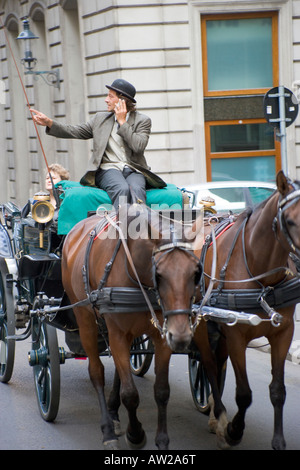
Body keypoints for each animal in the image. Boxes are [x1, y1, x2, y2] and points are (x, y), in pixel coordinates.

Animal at [61, 204, 209, 450]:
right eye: (159, 274)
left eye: (196, 272)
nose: (181, 337)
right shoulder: (119, 334)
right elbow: (130, 394)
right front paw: (136, 434)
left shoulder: (161, 336)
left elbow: (161, 391)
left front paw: (162, 441)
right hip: (85, 319)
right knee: (97, 372)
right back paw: (108, 430)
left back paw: (113, 413)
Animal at [197, 171, 298, 450]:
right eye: (289, 220)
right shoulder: (236, 336)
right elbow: (243, 393)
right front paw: (233, 430)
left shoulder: (283, 332)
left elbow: (278, 390)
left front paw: (278, 441)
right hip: (200, 326)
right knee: (209, 366)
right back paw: (221, 420)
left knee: (216, 364)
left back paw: (214, 417)